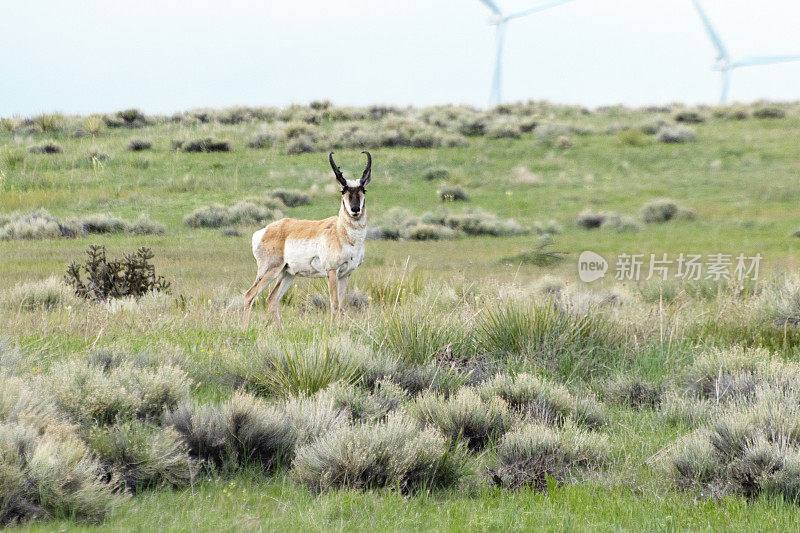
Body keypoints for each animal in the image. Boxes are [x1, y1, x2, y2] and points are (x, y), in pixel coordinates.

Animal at [242, 151, 370, 328]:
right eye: (342, 190)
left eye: (363, 189)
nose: (355, 209)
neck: (341, 232)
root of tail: (265, 230)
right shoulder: (332, 271)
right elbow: (334, 303)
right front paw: (333, 329)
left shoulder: (346, 274)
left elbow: (343, 306)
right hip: (270, 270)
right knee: (250, 294)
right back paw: (244, 330)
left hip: (287, 274)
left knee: (271, 299)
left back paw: (281, 331)